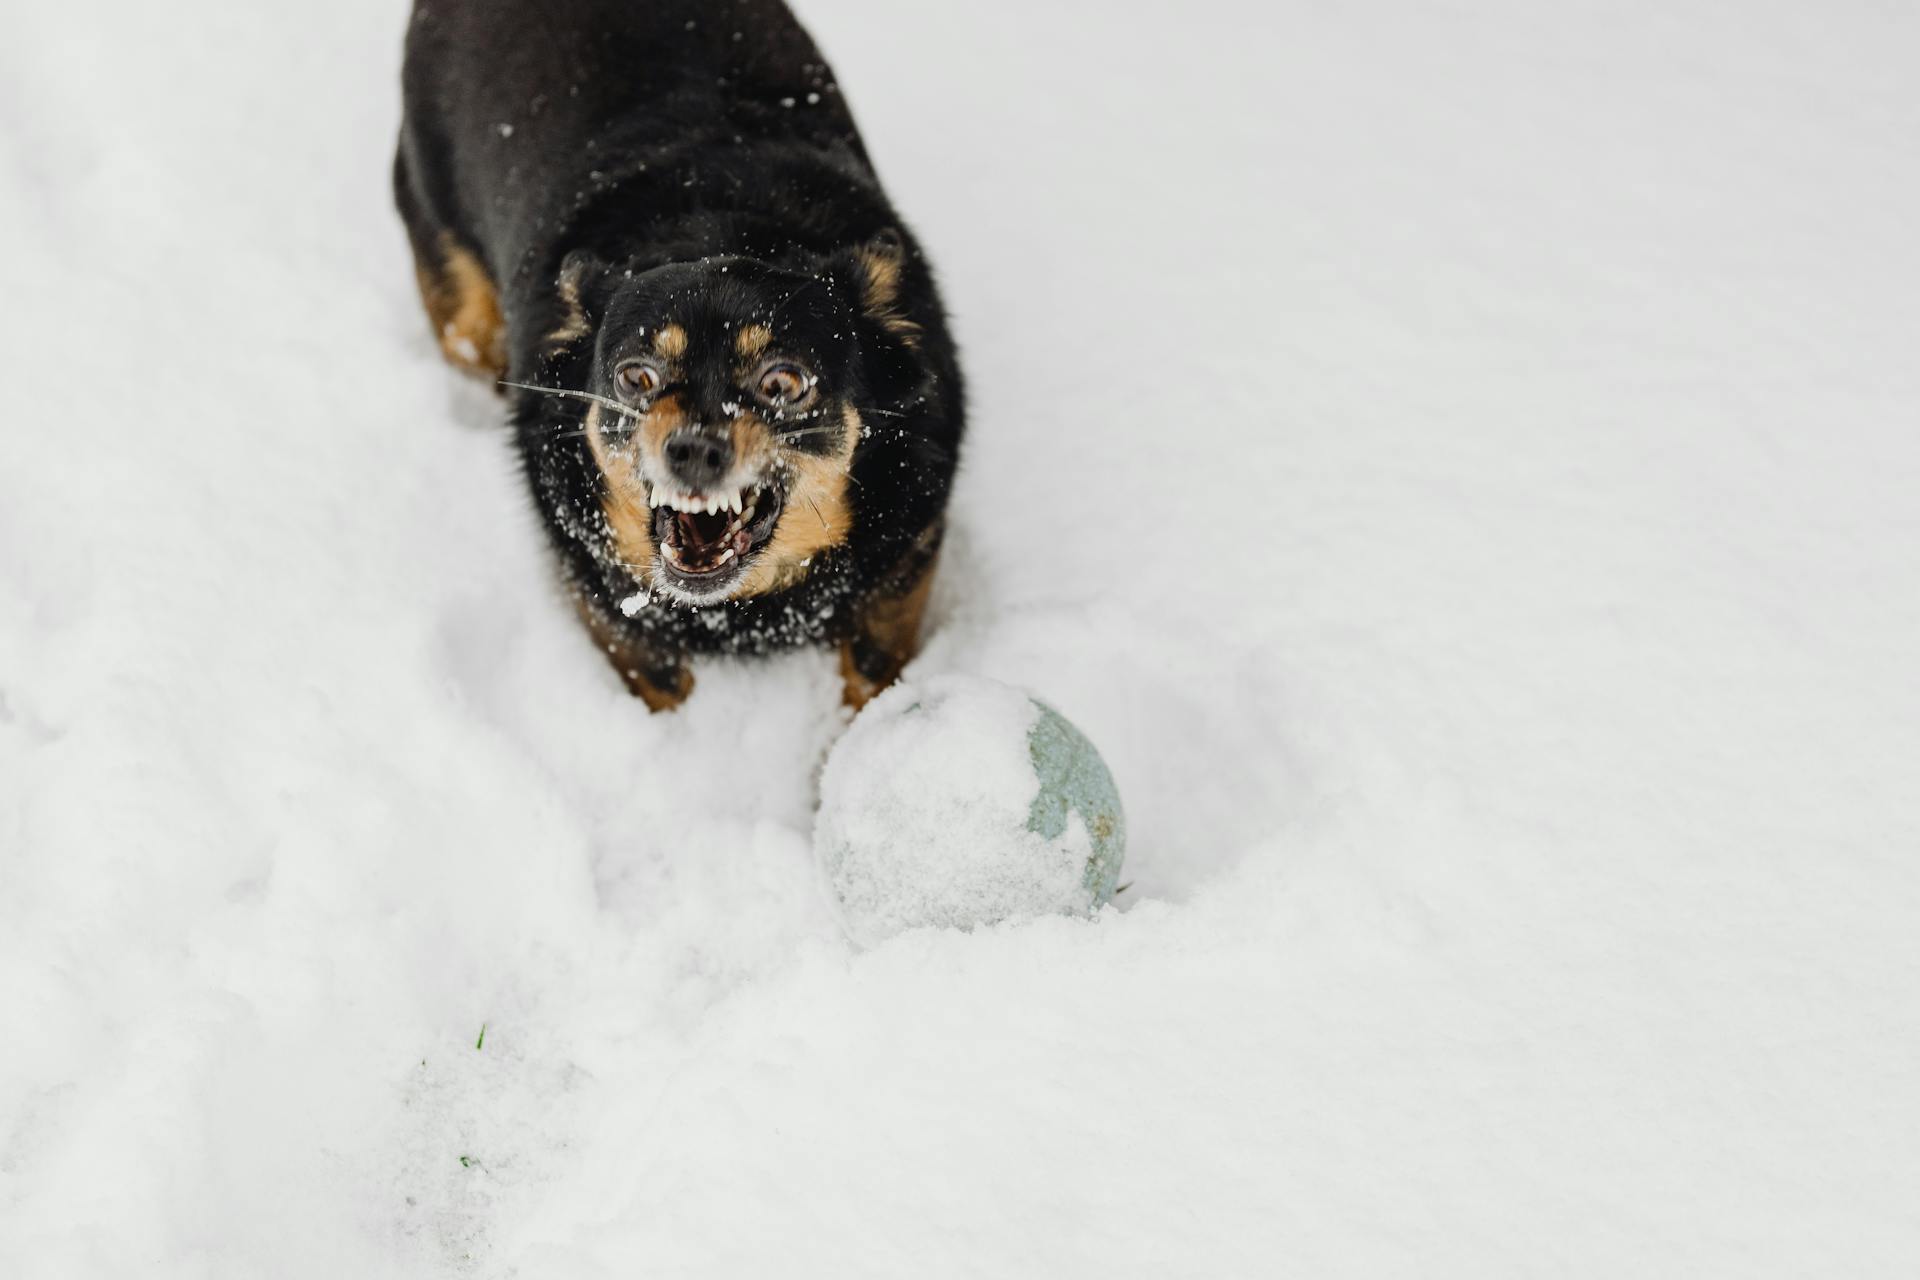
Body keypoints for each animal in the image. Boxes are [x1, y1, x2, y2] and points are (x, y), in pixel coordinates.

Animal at [393, 0, 960, 710]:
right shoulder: (606, 602)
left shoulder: (907, 562)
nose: (692, 450)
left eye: (784, 382)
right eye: (636, 377)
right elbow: (657, 675)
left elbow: (874, 672)